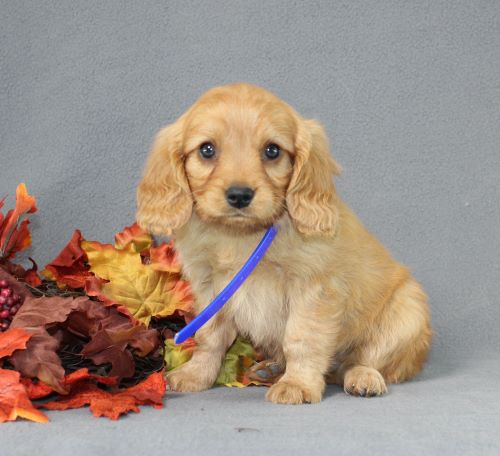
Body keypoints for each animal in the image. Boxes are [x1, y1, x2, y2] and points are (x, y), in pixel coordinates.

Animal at [136, 83, 430, 404]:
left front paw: (299, 384)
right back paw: (271, 369)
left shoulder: (313, 288)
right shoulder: (210, 288)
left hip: (408, 312)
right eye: (207, 149)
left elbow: (301, 339)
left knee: (364, 360)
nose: (240, 195)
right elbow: (210, 336)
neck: (239, 235)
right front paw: (196, 374)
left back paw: (362, 377)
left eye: (272, 150)